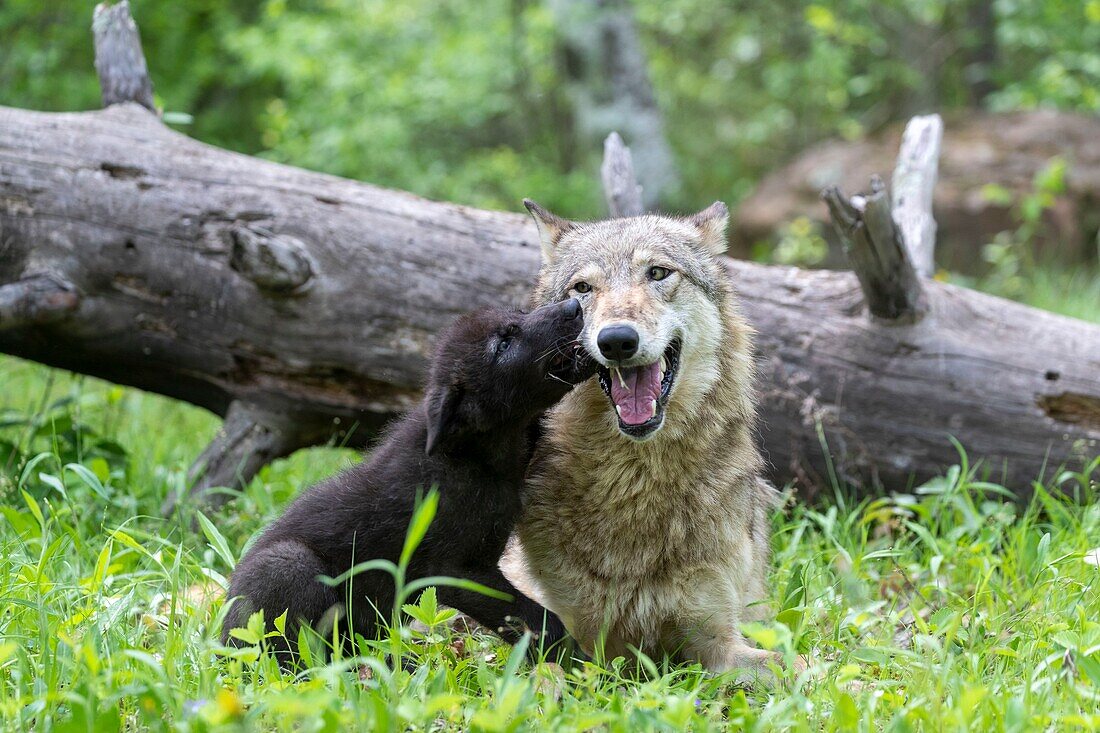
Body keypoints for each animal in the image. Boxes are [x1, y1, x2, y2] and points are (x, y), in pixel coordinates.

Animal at [222, 299, 594, 664]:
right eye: (503, 344)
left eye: (518, 313)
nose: (574, 305)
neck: (471, 454)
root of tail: (223, 645)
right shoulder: (454, 570)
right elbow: (536, 620)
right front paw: (584, 667)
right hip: (288, 564)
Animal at [506, 198, 792, 673]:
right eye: (582, 288)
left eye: (657, 273)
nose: (617, 340)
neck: (633, 481)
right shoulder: (559, 639)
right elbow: (543, 677)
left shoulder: (718, 640)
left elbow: (799, 667)